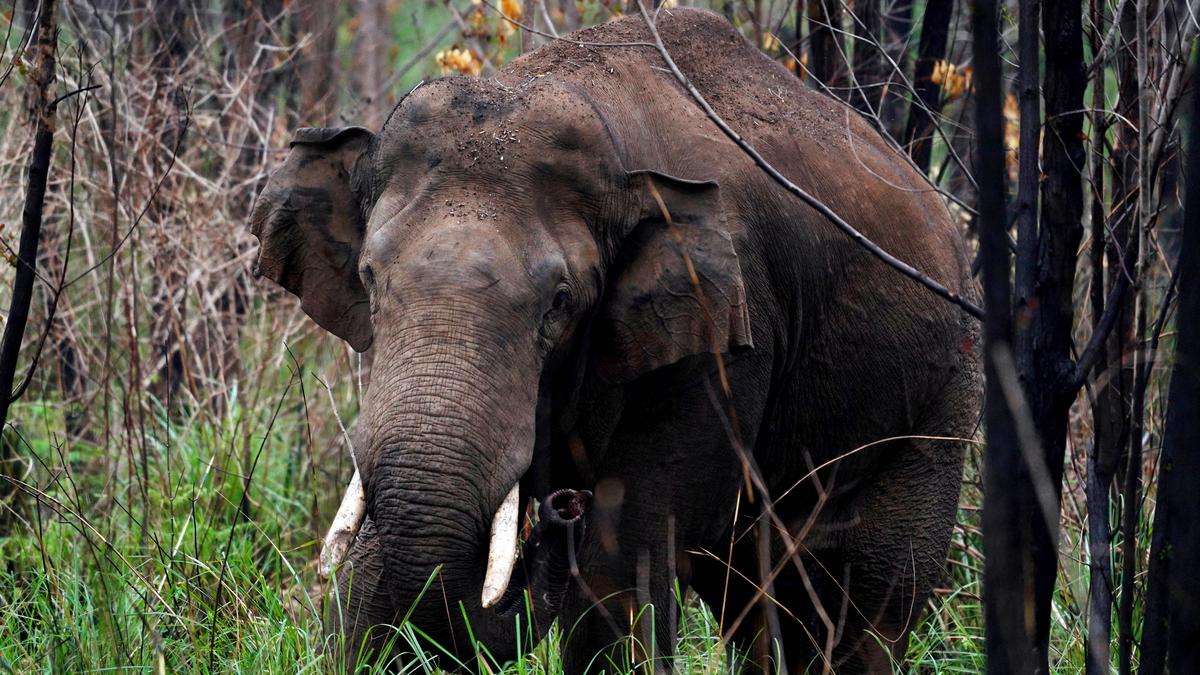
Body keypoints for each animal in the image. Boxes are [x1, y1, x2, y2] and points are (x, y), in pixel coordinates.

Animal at [249, 8, 981, 673]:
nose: (560, 507)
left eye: (560, 302)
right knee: (756, 598)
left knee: (870, 601)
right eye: (369, 278)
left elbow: (617, 568)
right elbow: (380, 573)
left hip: (941, 399)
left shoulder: (720, 340)